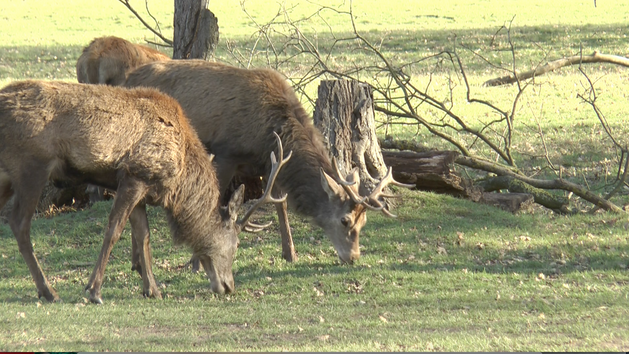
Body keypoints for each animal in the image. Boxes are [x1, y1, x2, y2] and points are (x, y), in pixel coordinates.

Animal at [0, 80, 290, 304]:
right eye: (235, 243)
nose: (229, 286)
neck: (177, 181)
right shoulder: (135, 174)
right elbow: (114, 230)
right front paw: (94, 290)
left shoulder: (141, 188)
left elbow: (143, 235)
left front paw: (152, 290)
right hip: (32, 166)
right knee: (19, 223)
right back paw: (49, 291)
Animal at [125, 60, 412, 266]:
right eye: (345, 221)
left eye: (363, 224)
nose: (353, 257)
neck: (267, 135)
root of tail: (127, 78)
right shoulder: (226, 153)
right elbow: (215, 201)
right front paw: (197, 262)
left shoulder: (269, 164)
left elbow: (280, 203)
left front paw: (290, 253)